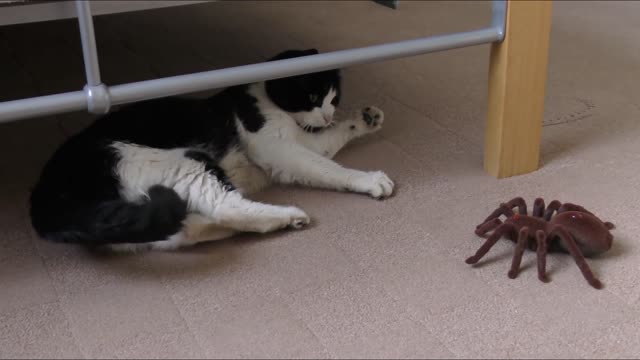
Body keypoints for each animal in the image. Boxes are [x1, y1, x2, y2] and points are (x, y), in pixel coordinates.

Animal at [30, 48, 396, 250]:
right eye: (312, 96)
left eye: (334, 98)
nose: (328, 113)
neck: (264, 99)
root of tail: (47, 193)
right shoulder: (278, 149)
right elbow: (327, 168)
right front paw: (370, 180)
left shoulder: (304, 140)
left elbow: (329, 142)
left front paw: (364, 119)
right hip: (182, 162)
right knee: (226, 206)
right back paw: (288, 216)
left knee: (182, 228)